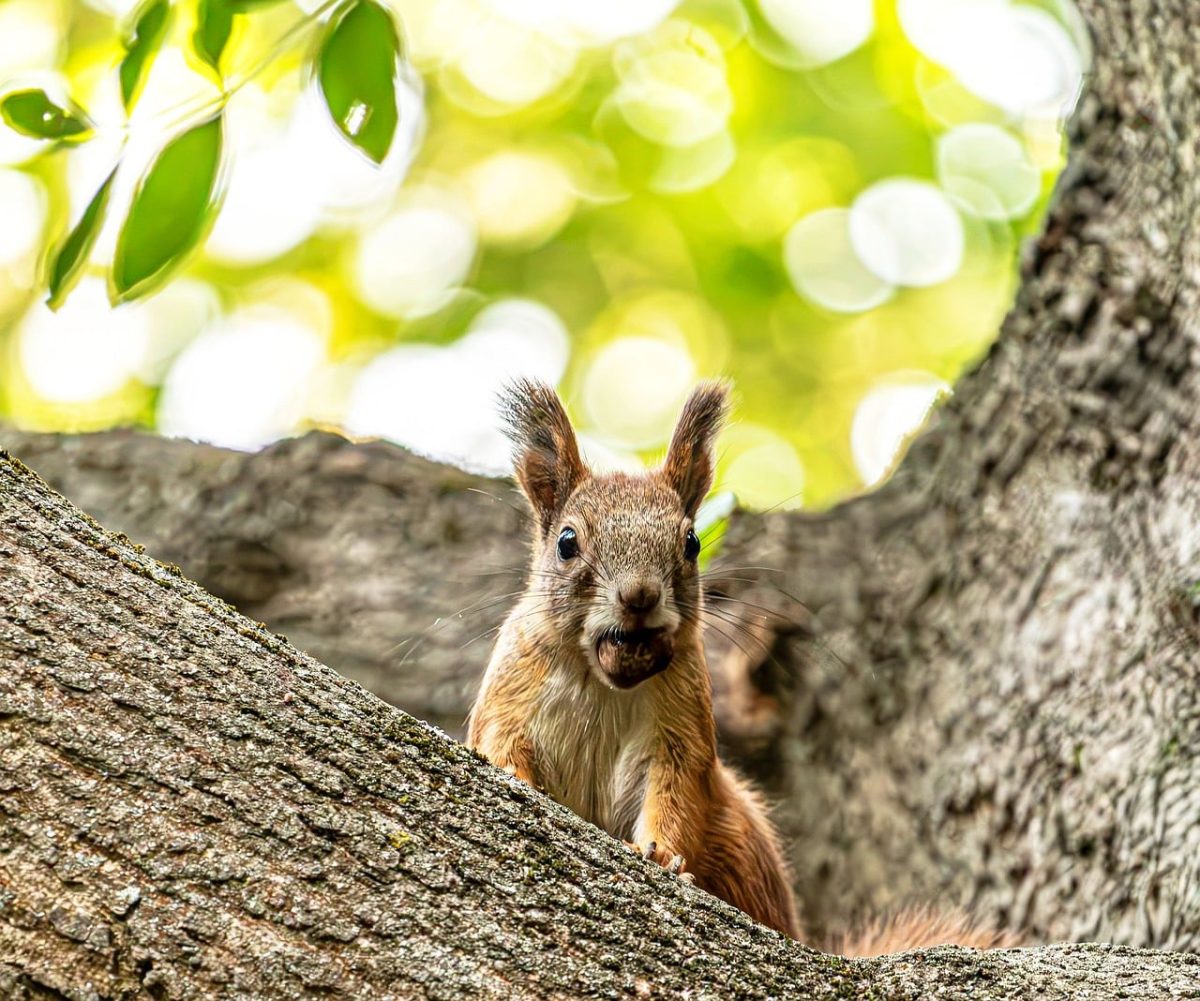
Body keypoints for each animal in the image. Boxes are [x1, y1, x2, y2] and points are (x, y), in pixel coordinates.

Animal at [467, 378, 1014, 954]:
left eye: (691, 542)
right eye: (567, 542)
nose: (639, 596)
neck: (606, 682)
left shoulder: (679, 725)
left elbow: (678, 791)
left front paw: (662, 854)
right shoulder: (511, 691)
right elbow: (498, 743)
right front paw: (514, 776)